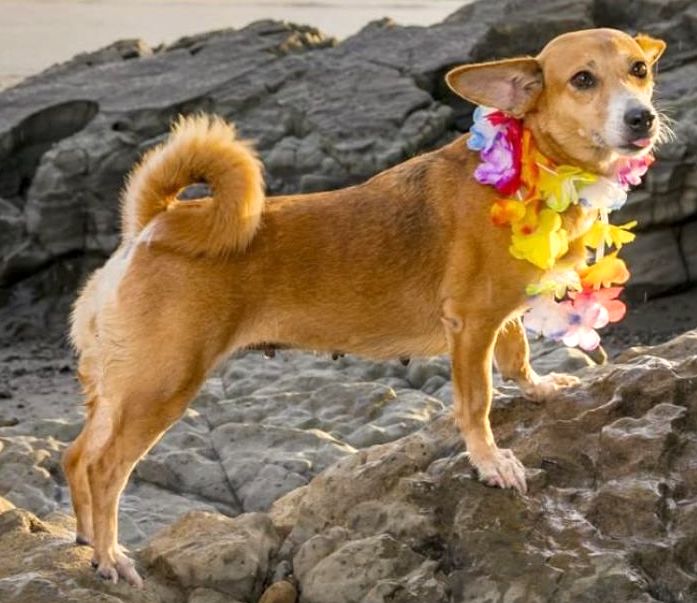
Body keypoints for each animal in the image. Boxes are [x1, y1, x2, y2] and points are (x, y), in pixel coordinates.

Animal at [64, 27, 664, 584]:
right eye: (582, 80)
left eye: (638, 69)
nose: (644, 119)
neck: (536, 162)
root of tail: (153, 226)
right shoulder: (471, 325)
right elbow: (477, 404)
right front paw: (490, 461)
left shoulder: (499, 316)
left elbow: (517, 356)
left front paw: (539, 388)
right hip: (162, 385)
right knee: (104, 468)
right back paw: (111, 556)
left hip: (120, 387)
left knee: (77, 456)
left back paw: (85, 542)